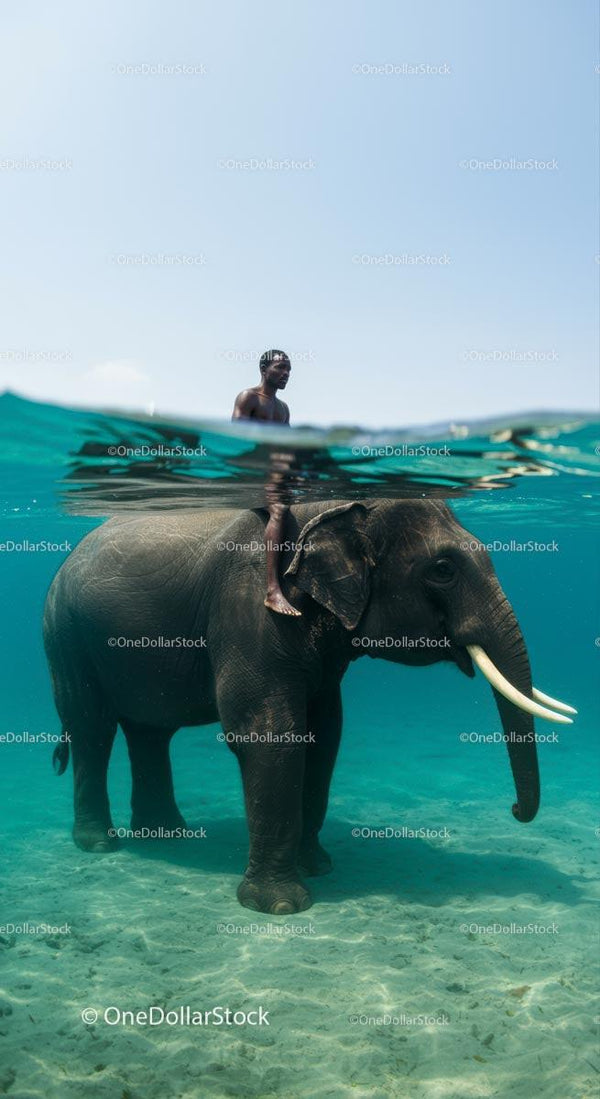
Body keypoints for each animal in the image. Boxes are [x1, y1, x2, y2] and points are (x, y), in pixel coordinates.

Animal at [43, 499, 575, 914]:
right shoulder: (251, 610)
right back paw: (101, 844)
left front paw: (319, 867)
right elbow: (269, 733)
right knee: (92, 728)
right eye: (442, 570)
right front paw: (280, 905)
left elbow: (325, 733)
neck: (332, 509)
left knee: (149, 732)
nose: (513, 809)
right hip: (65, 636)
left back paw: (168, 835)